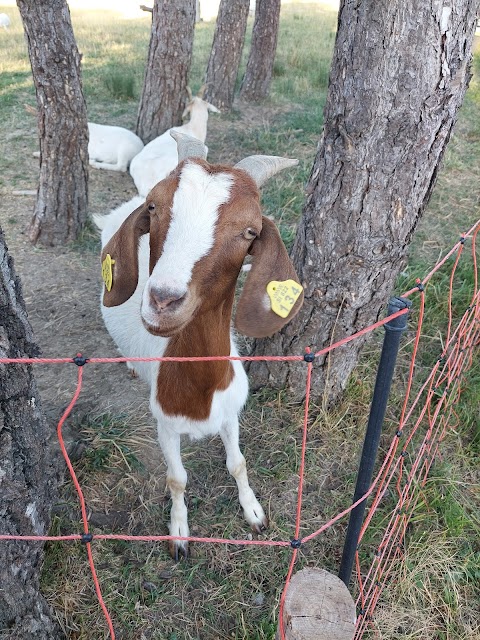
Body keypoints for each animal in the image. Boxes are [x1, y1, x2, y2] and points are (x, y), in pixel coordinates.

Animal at [98, 131, 304, 560]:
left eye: (249, 231)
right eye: (154, 206)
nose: (163, 300)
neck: (202, 389)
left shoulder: (231, 414)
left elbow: (238, 463)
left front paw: (254, 512)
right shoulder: (164, 425)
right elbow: (177, 478)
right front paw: (179, 532)